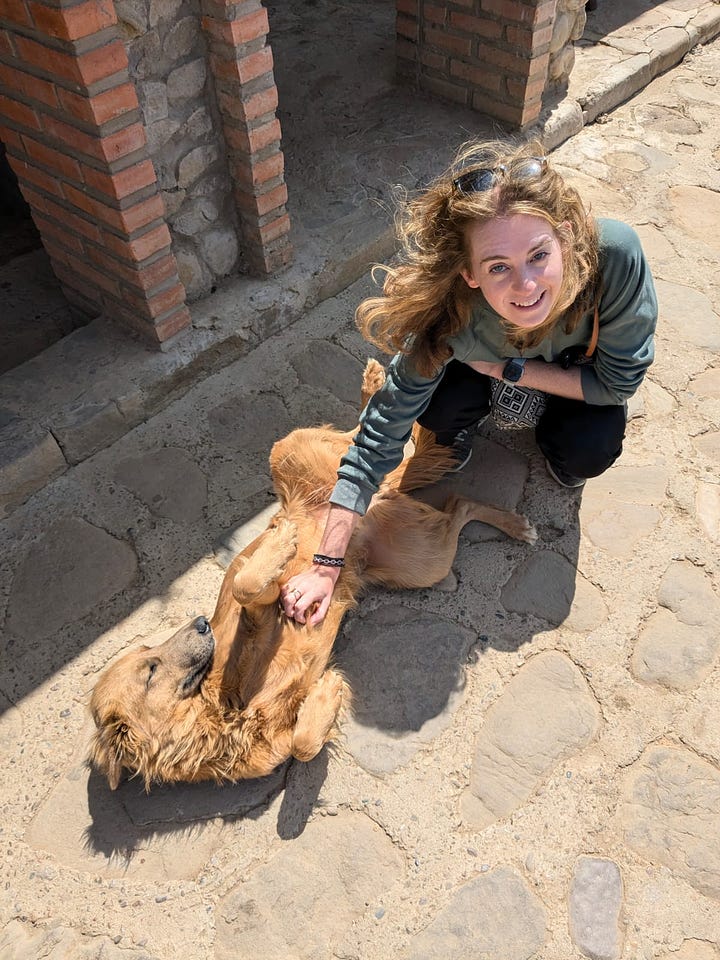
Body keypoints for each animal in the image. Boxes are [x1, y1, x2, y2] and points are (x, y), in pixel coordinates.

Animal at [90, 360, 536, 788]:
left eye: (149, 654)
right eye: (150, 666)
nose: (202, 623)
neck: (218, 711)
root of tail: (369, 497)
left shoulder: (266, 607)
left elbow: (246, 584)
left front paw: (281, 540)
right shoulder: (279, 744)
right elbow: (304, 746)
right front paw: (325, 695)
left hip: (289, 448)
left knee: (364, 440)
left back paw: (376, 385)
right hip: (425, 559)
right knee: (456, 502)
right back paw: (514, 524)